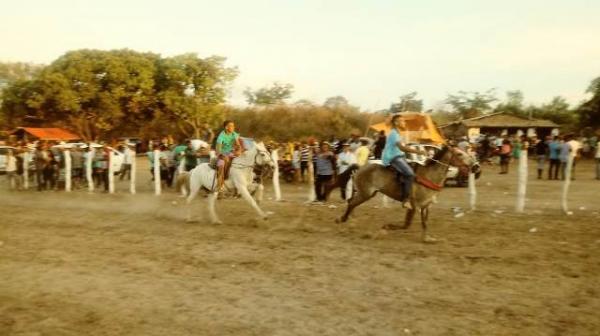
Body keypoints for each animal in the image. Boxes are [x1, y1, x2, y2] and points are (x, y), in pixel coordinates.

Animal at [338, 146, 478, 243]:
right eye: (459, 153)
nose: (476, 166)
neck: (428, 176)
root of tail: (361, 167)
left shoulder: (425, 206)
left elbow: (424, 223)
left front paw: (427, 239)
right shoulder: (413, 205)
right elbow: (406, 225)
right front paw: (385, 227)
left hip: (366, 193)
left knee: (351, 202)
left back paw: (350, 220)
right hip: (365, 193)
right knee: (351, 203)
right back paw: (343, 219)